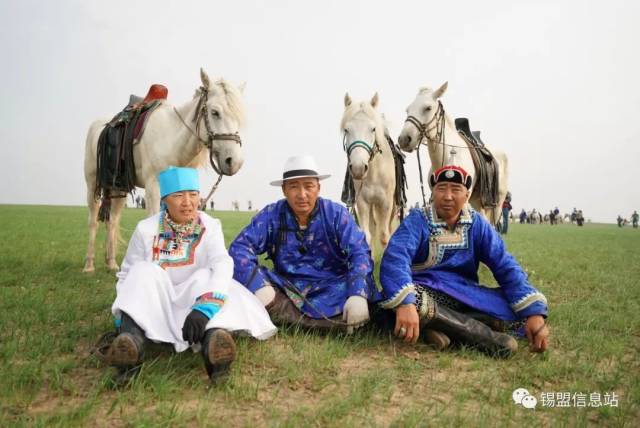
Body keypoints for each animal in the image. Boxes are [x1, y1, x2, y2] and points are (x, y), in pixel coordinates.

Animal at [84, 68, 244, 272]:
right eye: (215, 112)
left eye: (238, 117)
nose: (234, 162)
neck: (173, 139)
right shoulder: (153, 185)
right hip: (92, 183)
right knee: (93, 221)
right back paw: (89, 265)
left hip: (118, 187)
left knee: (112, 220)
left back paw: (112, 263)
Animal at [342, 93, 398, 247]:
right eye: (346, 130)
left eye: (373, 129)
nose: (358, 168)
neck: (375, 173)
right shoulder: (362, 202)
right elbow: (366, 236)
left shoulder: (386, 203)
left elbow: (384, 236)